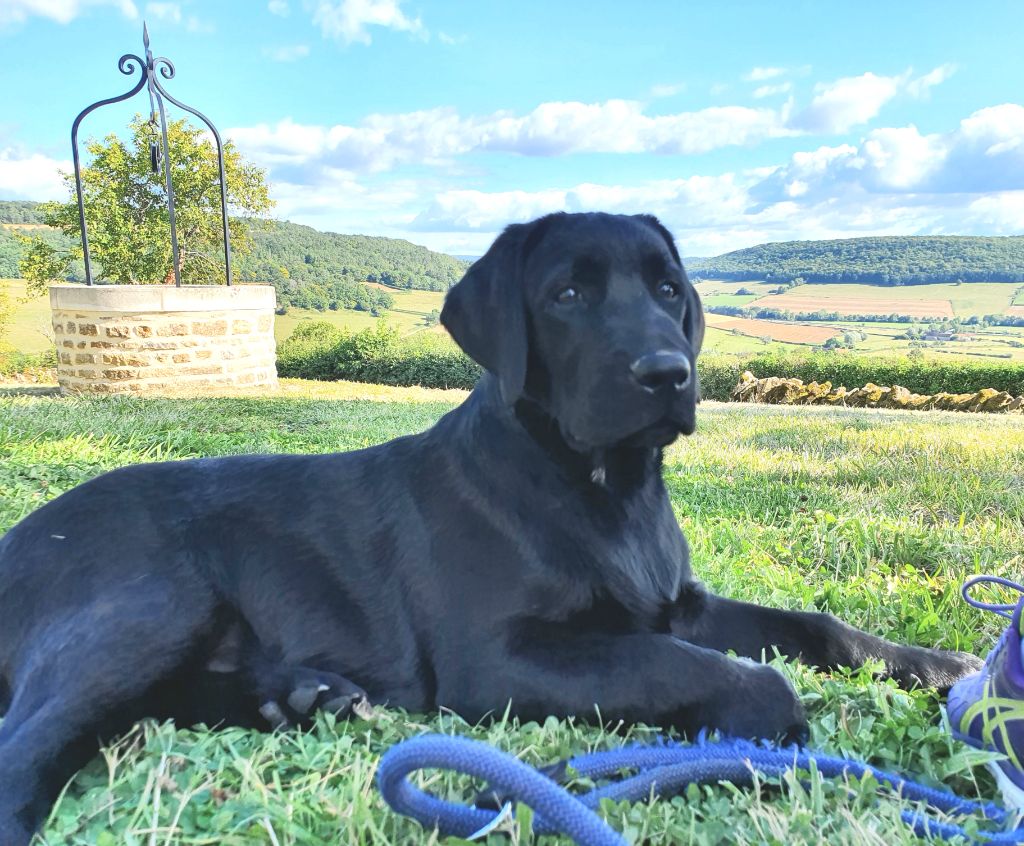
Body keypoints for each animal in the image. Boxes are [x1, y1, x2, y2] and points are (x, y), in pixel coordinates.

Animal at [0, 213, 974, 843]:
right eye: (569, 292)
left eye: (669, 289)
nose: (670, 372)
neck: (601, 492)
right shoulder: (497, 659)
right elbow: (706, 670)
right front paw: (775, 724)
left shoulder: (677, 603)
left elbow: (816, 626)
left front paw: (943, 669)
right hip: (147, 603)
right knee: (27, 746)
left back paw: (302, 697)